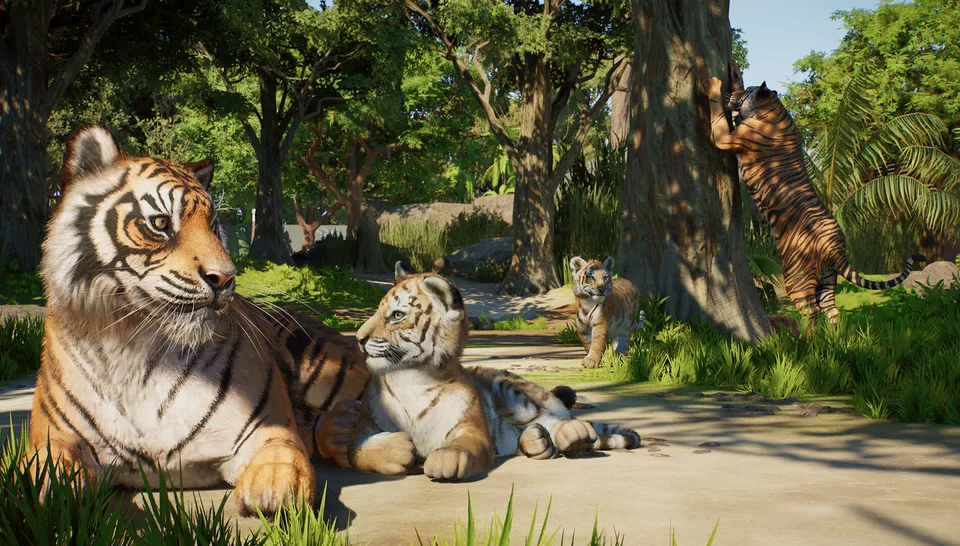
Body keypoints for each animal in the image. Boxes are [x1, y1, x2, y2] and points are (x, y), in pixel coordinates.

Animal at [27, 124, 368, 516]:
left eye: (215, 226)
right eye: (161, 223)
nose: (225, 277)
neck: (134, 346)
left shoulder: (266, 427)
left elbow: (282, 452)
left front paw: (276, 488)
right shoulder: (55, 436)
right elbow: (45, 470)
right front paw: (49, 494)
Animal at [345, 262, 641, 481]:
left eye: (397, 315)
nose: (359, 338)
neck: (413, 377)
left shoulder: (471, 426)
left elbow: (465, 446)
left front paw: (445, 459)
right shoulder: (362, 427)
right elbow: (357, 450)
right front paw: (400, 450)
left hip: (514, 395)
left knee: (555, 418)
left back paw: (573, 434)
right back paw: (537, 442)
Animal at [707, 72, 926, 323]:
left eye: (747, 91)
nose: (734, 92)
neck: (774, 108)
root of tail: (836, 246)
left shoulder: (727, 138)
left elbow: (717, 115)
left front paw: (713, 85)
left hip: (796, 277)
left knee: (810, 311)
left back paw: (801, 334)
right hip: (828, 277)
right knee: (832, 310)